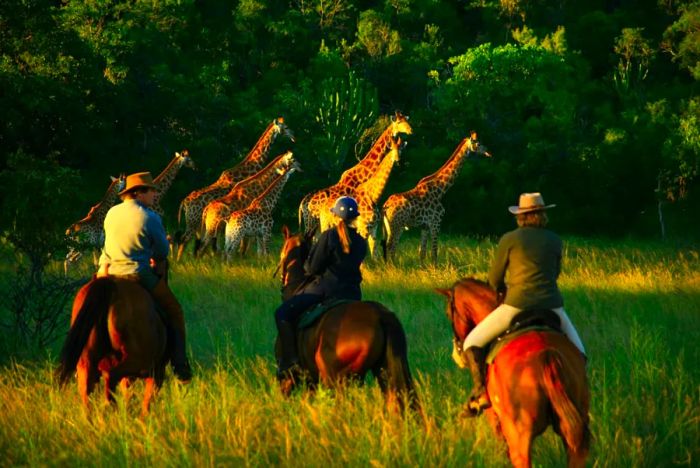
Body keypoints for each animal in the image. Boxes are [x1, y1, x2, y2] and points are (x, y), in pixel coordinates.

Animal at [56, 276, 168, 414]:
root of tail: (108, 283)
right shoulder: (156, 373)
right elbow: (146, 403)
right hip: (137, 363)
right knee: (110, 376)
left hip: (86, 363)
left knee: (87, 393)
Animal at [178, 114, 296, 258]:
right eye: (286, 127)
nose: (293, 136)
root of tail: (185, 202)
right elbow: (244, 245)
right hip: (195, 222)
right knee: (187, 241)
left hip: (198, 225)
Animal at [382, 132, 492, 266]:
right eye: (479, 143)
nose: (488, 151)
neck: (440, 189)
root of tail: (385, 206)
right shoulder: (436, 222)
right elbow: (434, 252)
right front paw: (435, 269)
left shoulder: (424, 226)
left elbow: (422, 252)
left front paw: (423, 268)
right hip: (398, 225)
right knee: (391, 246)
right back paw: (393, 268)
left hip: (389, 226)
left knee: (388, 246)